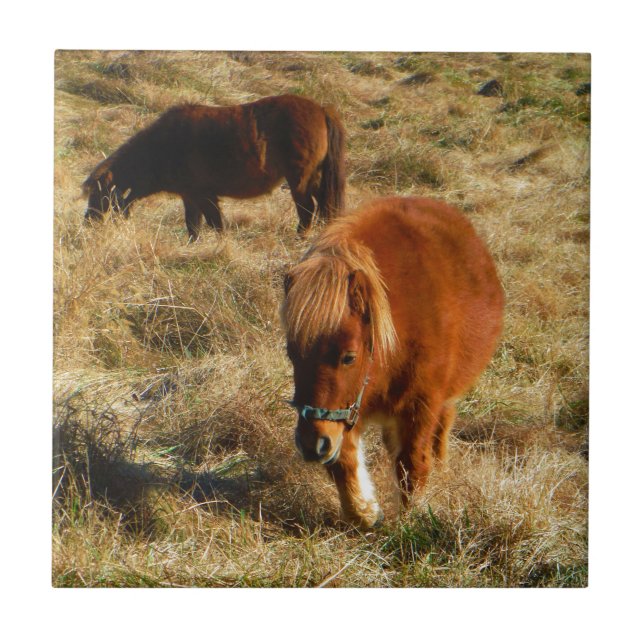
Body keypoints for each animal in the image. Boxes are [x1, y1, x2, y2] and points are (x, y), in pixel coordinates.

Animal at [82, 94, 346, 240]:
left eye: (99, 194)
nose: (87, 224)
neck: (164, 144)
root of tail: (321, 109)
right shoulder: (191, 196)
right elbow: (194, 227)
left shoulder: (204, 195)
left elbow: (215, 225)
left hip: (300, 180)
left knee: (307, 211)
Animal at [281, 196, 504, 527]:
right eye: (291, 353)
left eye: (348, 357)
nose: (311, 445)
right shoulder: (349, 411)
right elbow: (344, 462)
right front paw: (366, 512)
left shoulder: (420, 406)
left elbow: (412, 464)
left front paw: (409, 520)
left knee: (442, 427)